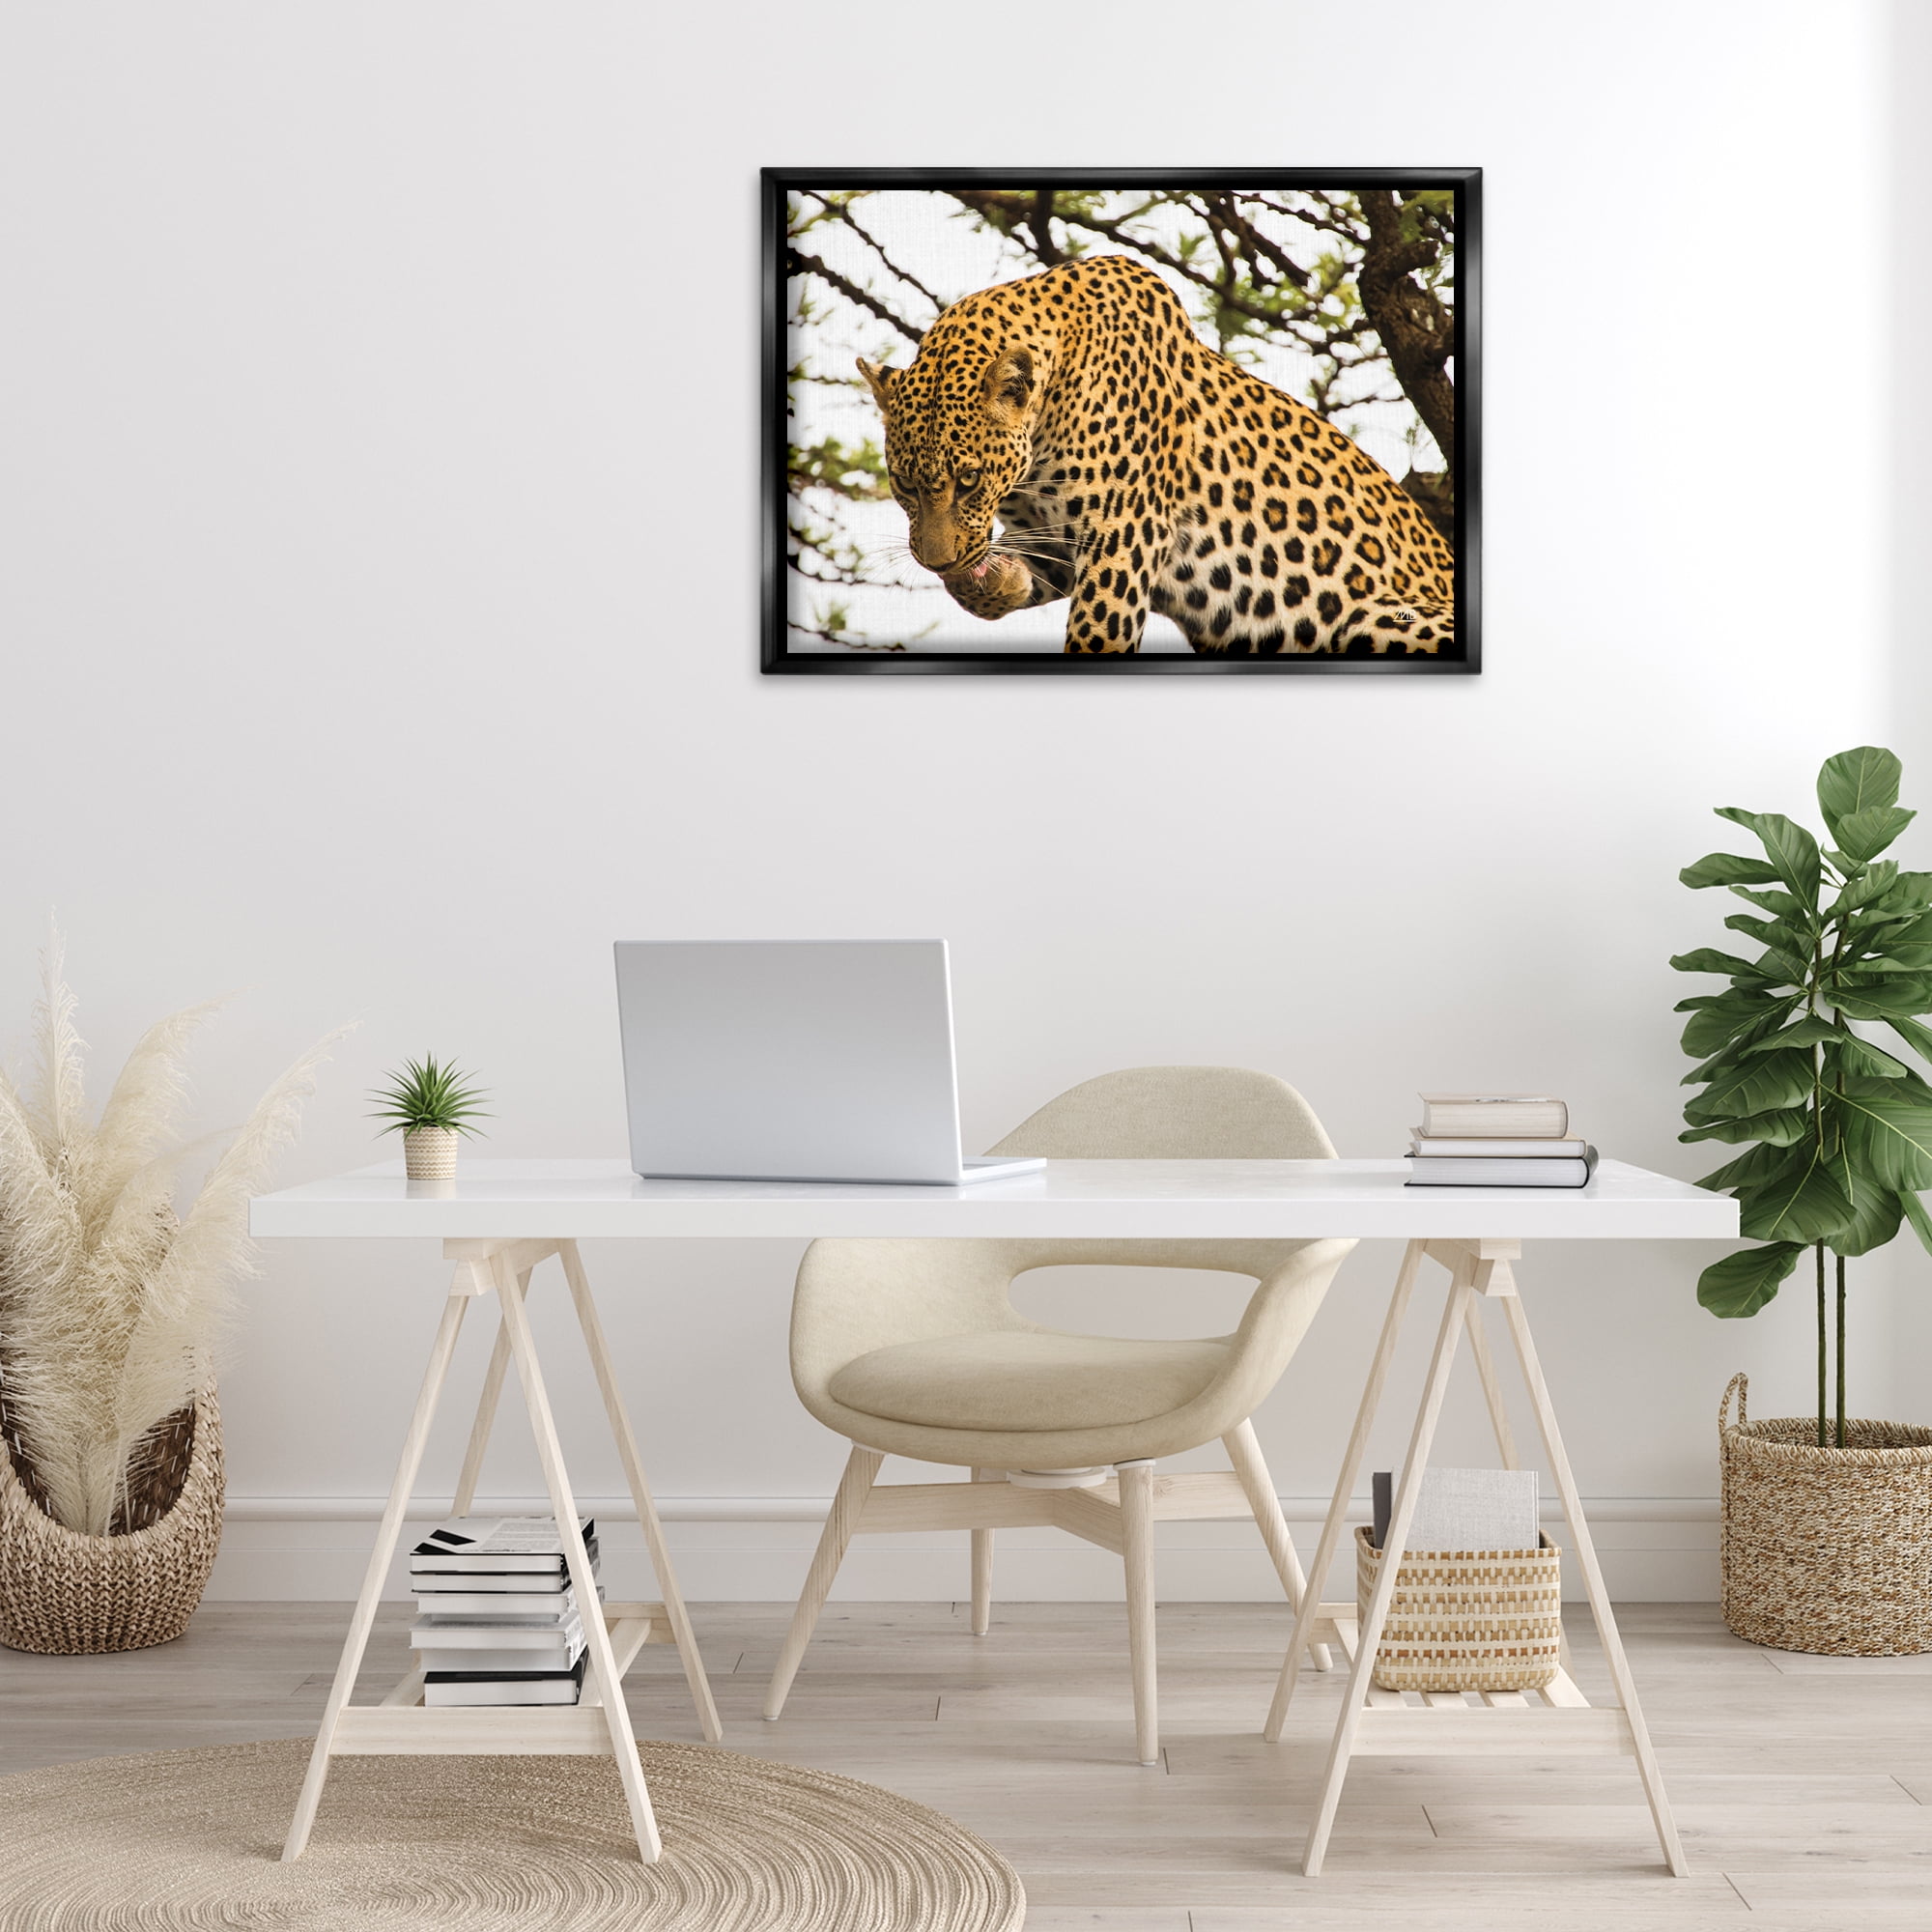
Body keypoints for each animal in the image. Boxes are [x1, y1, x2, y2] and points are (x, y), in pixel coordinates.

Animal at [857, 254, 1455, 657]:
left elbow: (1097, 637)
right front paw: (992, 580)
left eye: (969, 480)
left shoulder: (1123, 536)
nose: (937, 562)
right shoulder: (1057, 537)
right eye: (904, 484)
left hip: (1381, 619)